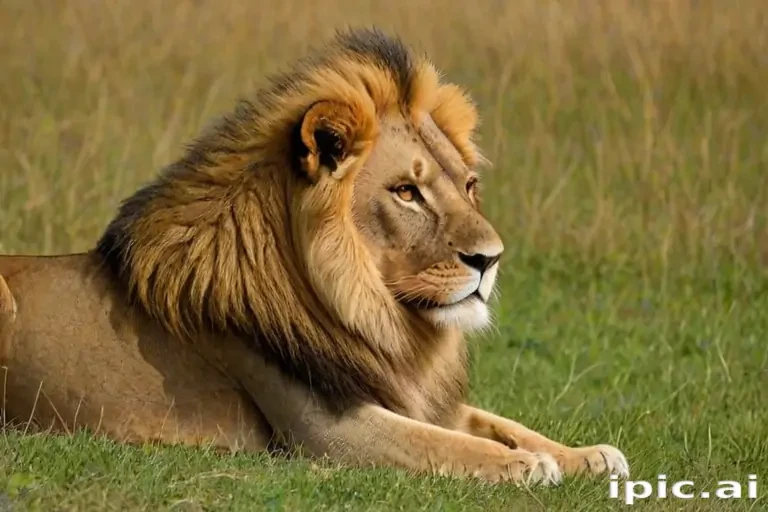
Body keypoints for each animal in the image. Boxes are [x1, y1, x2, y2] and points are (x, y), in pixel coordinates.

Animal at [0, 29, 628, 485]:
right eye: (407, 192)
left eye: (469, 186)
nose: (490, 259)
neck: (378, 316)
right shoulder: (329, 431)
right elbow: (449, 443)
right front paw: (523, 465)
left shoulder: (407, 393)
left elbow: (498, 422)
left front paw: (588, 455)